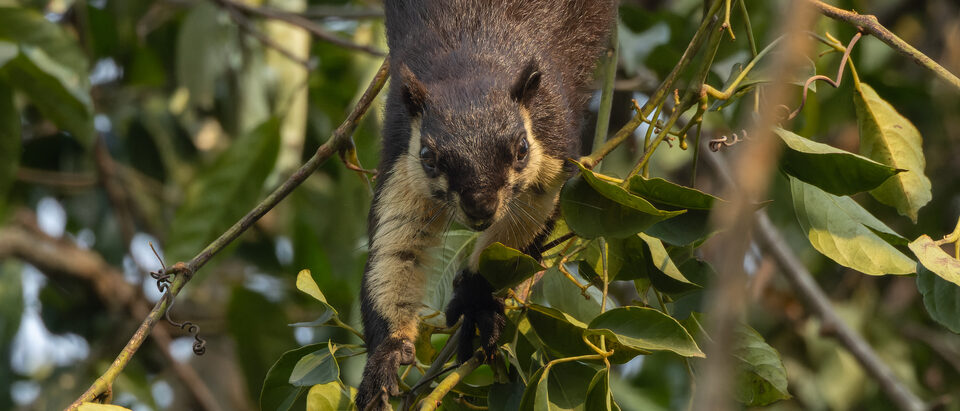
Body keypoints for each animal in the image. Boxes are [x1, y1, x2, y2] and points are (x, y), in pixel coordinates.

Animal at [356, 1, 614, 409]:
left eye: (522, 148)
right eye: (428, 156)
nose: (481, 207)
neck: (470, 59)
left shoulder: (553, 146)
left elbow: (527, 222)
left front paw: (476, 300)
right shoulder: (400, 159)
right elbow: (397, 250)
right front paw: (387, 356)